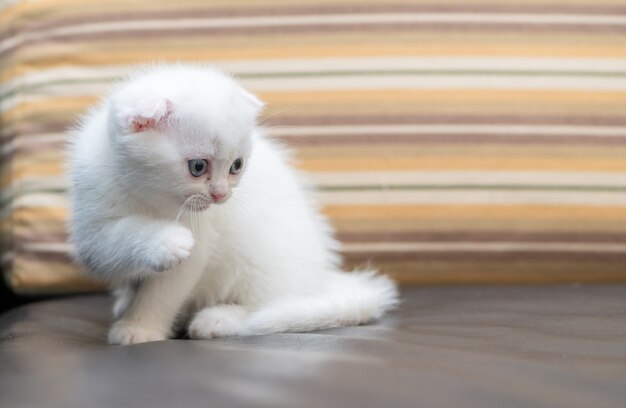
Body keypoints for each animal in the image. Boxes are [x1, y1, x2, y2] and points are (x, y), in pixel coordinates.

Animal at [68, 63, 398, 344]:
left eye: (236, 166)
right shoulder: (90, 218)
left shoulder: (199, 241)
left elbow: (163, 291)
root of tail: (319, 279)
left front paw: (139, 327)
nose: (220, 194)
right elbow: (108, 246)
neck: (146, 197)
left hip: (263, 260)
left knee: (272, 307)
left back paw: (220, 319)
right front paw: (157, 252)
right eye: (198, 167)